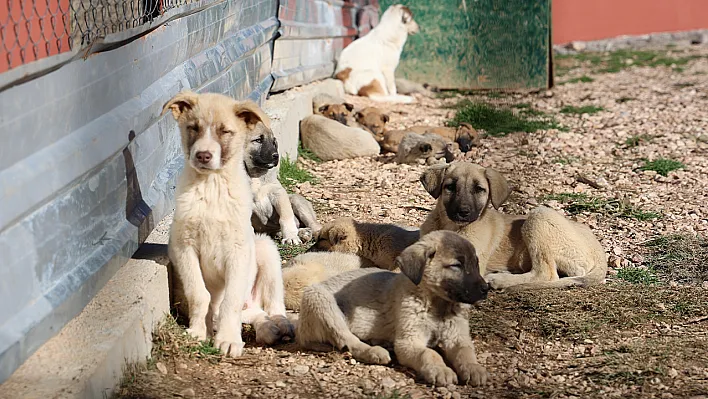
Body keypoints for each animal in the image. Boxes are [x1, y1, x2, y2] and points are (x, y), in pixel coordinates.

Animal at [164, 90, 294, 356]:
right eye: (193, 128)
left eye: (225, 131)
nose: (203, 155)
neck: (211, 186)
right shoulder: (183, 248)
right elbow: (199, 293)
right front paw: (198, 332)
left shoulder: (238, 251)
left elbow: (229, 301)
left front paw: (228, 340)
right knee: (256, 313)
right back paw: (267, 330)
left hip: (266, 250)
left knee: (273, 304)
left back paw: (281, 325)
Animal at [296, 231, 490, 388]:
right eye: (456, 265)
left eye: (476, 264)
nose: (486, 289)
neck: (437, 305)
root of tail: (301, 331)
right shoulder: (408, 341)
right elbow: (429, 353)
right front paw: (440, 370)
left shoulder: (458, 338)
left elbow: (466, 353)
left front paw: (475, 368)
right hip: (319, 297)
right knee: (347, 339)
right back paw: (374, 351)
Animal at [420, 163, 608, 294]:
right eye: (450, 187)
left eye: (479, 189)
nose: (463, 212)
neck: (450, 227)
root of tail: (599, 251)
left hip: (539, 216)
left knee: (545, 273)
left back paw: (500, 279)